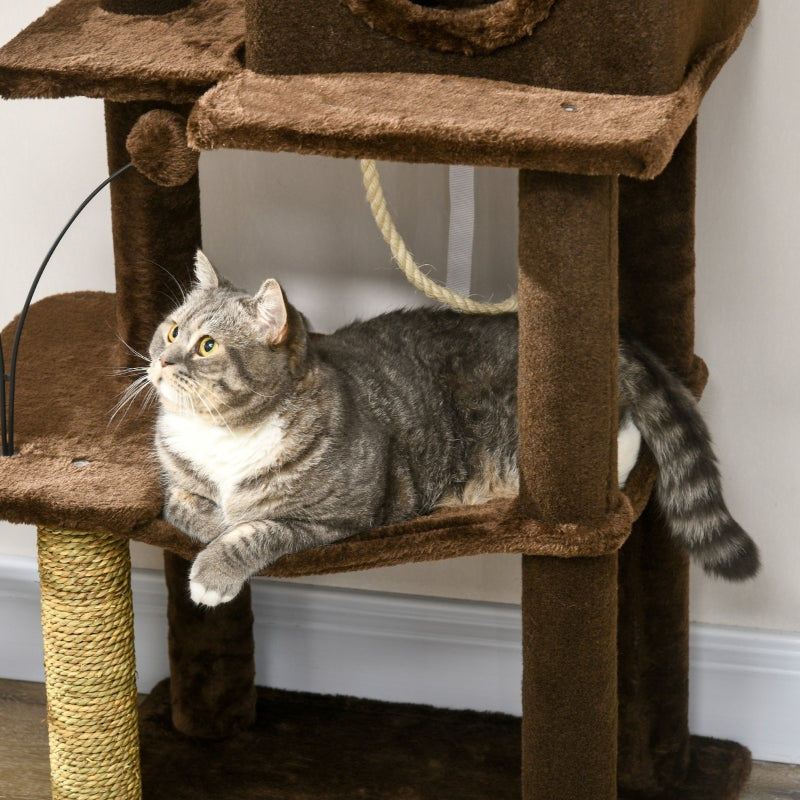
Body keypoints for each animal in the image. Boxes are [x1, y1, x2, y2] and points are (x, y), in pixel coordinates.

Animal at [147, 252, 760, 608]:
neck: (225, 432)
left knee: (624, 434)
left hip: (522, 441)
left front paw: (213, 570)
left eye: (206, 346)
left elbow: (257, 530)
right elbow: (187, 510)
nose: (160, 362)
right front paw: (210, 529)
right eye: (171, 330)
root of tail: (614, 345)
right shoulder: (178, 488)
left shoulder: (334, 518)